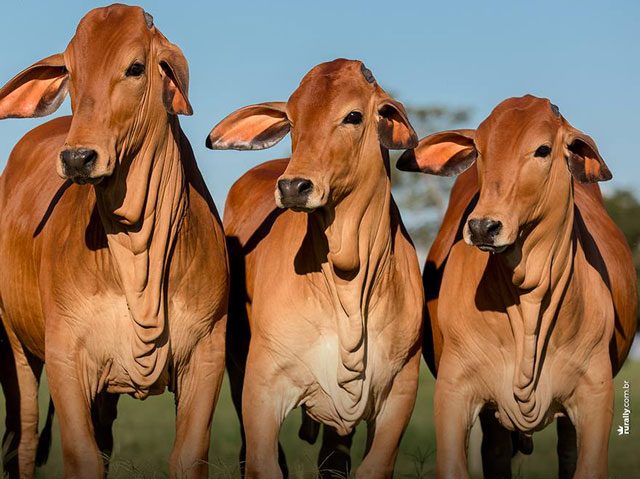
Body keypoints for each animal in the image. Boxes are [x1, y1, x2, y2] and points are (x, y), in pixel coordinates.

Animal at [0, 4, 229, 479]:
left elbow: (188, 457)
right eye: (70, 71)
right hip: (15, 345)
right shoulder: (66, 356)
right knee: (23, 440)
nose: (77, 158)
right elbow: (82, 456)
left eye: (135, 68)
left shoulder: (207, 354)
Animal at [206, 60, 424, 479]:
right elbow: (264, 463)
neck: (346, 278)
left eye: (353, 116)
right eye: (291, 119)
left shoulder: (399, 395)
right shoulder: (262, 389)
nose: (293, 186)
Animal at [398, 94, 636, 479]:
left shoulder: (595, 397)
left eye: (542, 150)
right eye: (479, 150)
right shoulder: (455, 394)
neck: (529, 297)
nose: (483, 227)